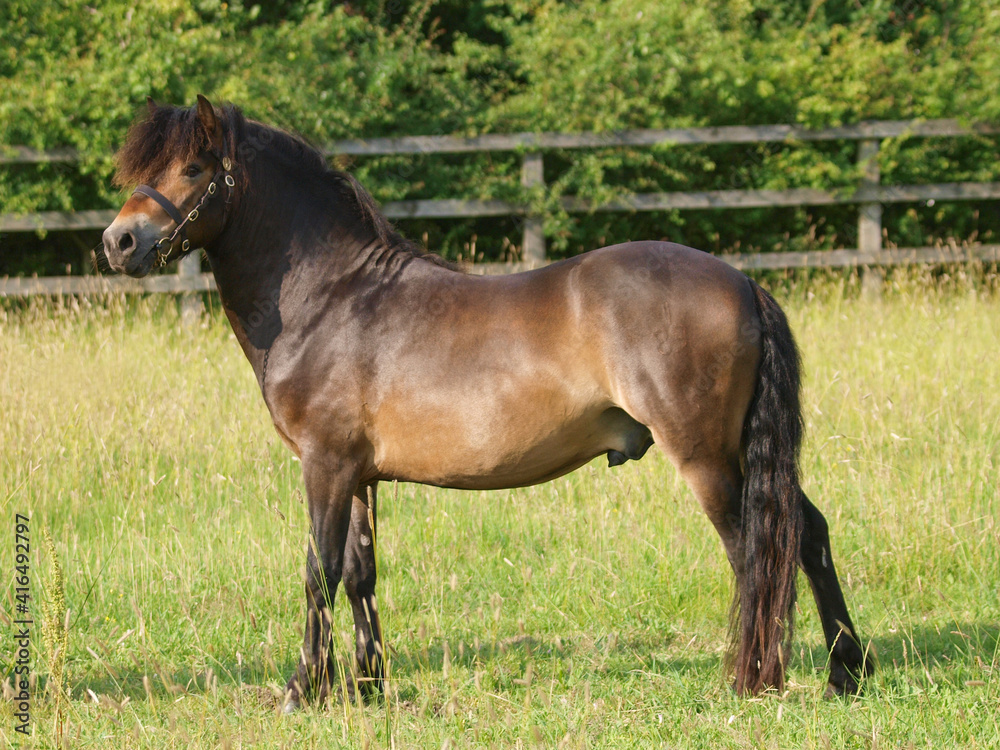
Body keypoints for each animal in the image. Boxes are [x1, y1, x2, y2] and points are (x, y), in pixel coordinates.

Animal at [97, 95, 872, 712]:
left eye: (193, 168)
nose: (118, 241)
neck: (333, 297)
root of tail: (742, 281)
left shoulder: (325, 465)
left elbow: (318, 571)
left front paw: (302, 690)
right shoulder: (361, 475)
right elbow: (360, 573)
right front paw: (368, 687)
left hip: (707, 455)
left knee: (751, 550)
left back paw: (754, 678)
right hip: (741, 451)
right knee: (806, 533)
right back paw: (847, 672)